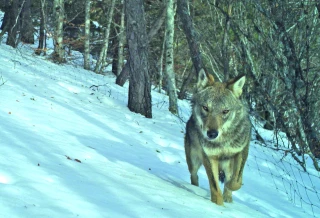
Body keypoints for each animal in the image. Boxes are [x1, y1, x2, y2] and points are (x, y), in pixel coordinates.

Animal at [185, 69, 250, 205]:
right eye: (205, 108)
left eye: (225, 111)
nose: (212, 133)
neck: (222, 142)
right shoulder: (209, 157)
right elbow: (215, 186)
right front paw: (218, 205)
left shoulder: (242, 152)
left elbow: (236, 181)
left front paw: (229, 188)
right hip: (193, 162)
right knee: (194, 176)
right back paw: (195, 188)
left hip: (228, 163)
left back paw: (228, 197)